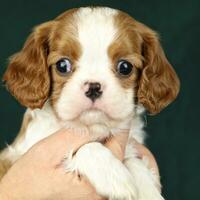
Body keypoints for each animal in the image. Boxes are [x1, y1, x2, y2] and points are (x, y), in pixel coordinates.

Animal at [0, 7, 180, 200]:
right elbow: (84, 147)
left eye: (125, 67)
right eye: (62, 65)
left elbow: (134, 160)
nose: (93, 88)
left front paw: (147, 190)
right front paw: (115, 175)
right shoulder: (15, 157)